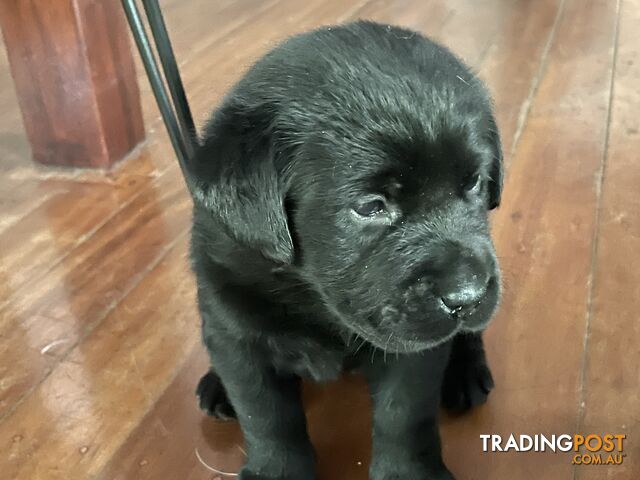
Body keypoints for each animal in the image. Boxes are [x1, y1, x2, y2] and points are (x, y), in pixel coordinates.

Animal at [188, 20, 502, 478]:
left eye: (475, 182)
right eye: (370, 206)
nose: (467, 296)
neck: (314, 300)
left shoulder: (414, 352)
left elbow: (403, 415)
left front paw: (407, 472)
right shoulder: (237, 330)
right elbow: (266, 416)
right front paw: (276, 470)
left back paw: (466, 371)